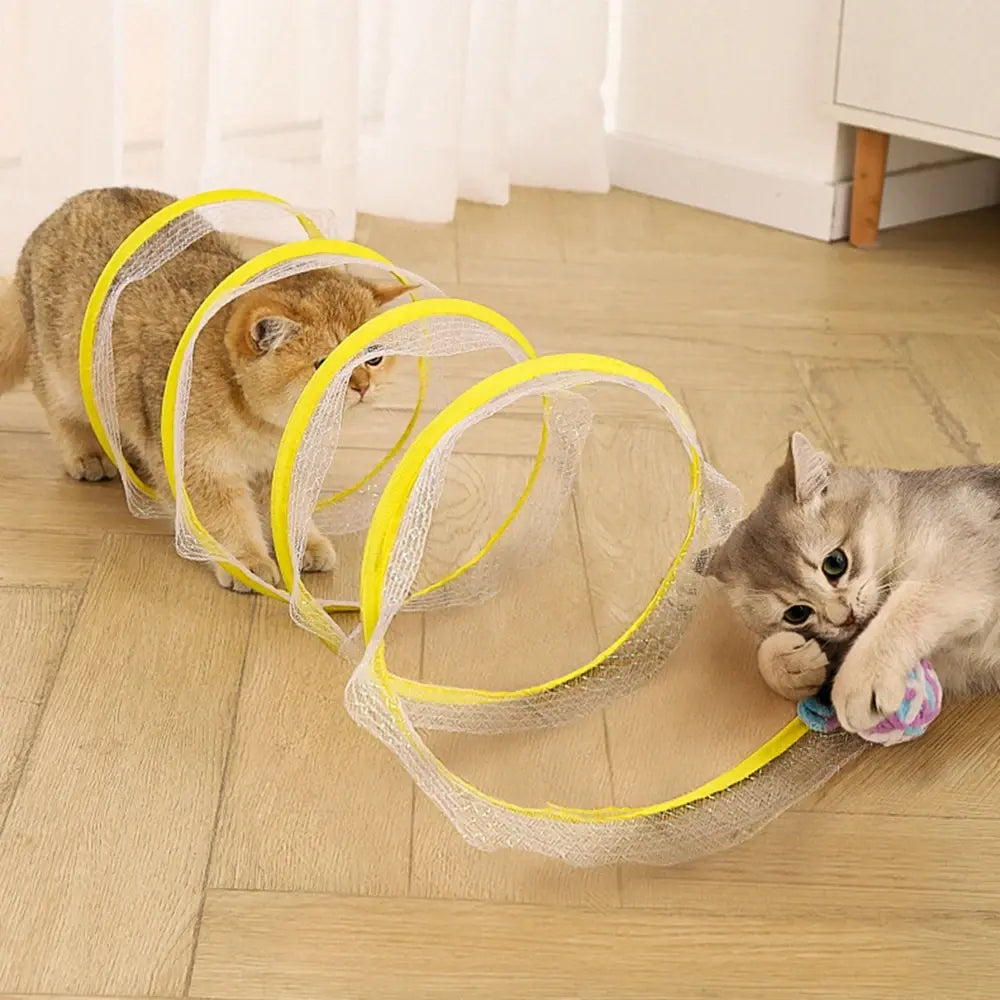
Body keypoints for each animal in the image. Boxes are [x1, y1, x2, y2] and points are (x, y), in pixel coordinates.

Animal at [0, 188, 410, 584]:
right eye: (323, 365)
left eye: (373, 358)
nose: (362, 386)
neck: (263, 426)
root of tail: (57, 213)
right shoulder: (200, 466)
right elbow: (226, 519)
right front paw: (248, 561)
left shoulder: (282, 469)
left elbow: (287, 513)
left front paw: (304, 545)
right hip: (61, 375)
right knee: (61, 410)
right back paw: (88, 455)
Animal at [708, 434, 1000, 732]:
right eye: (797, 613)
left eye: (835, 563)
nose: (844, 617)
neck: (900, 513)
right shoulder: (950, 661)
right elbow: (767, 656)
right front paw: (793, 665)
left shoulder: (963, 555)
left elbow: (910, 603)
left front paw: (859, 679)